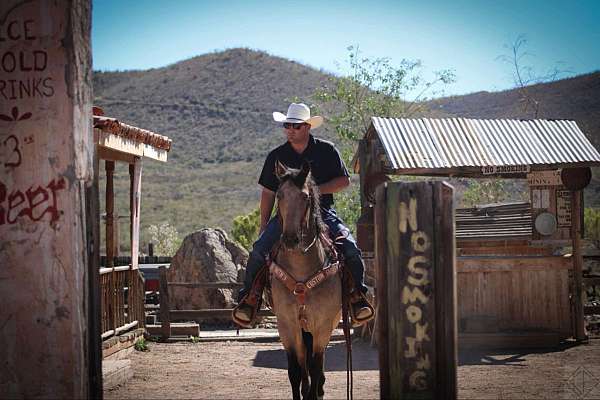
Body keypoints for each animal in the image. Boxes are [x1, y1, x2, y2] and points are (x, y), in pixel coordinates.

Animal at [270, 161, 344, 398]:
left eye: (305, 197)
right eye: (280, 195)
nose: (290, 239)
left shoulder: (322, 325)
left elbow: (316, 365)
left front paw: (315, 391)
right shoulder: (286, 325)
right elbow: (295, 368)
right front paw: (302, 391)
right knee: (303, 360)